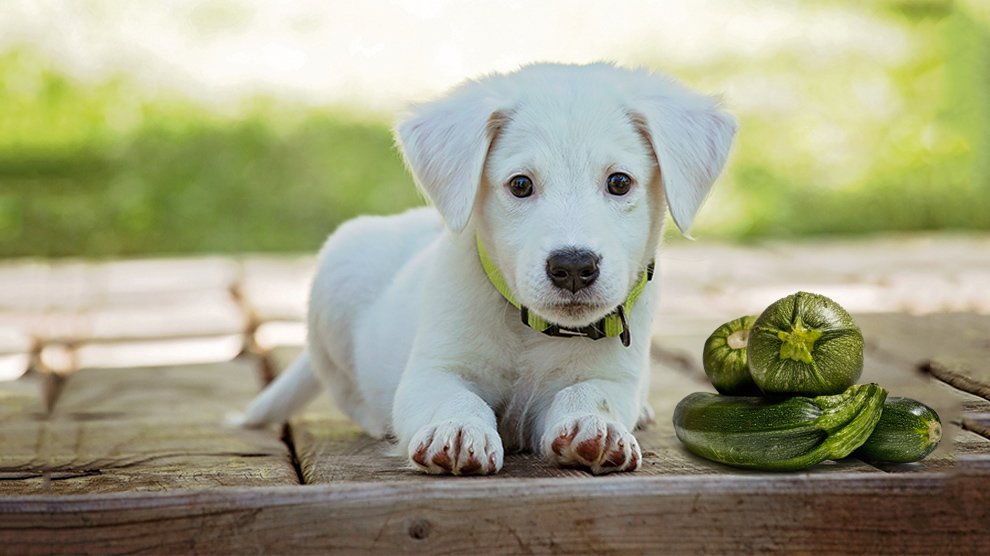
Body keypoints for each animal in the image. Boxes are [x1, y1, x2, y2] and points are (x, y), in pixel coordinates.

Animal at [242, 63, 736, 476]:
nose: (574, 266)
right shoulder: (433, 370)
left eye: (619, 182)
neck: (531, 330)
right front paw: (458, 429)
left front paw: (594, 426)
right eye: (520, 185)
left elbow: (591, 394)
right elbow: (453, 397)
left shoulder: (613, 377)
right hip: (337, 278)